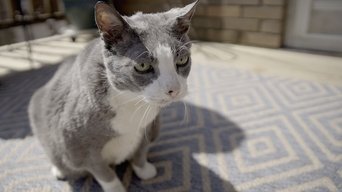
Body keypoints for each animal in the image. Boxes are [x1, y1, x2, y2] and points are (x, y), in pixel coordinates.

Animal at [28, 1, 198, 192]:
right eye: (142, 65)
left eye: (183, 60)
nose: (174, 89)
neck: (132, 101)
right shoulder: (78, 146)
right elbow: (103, 172)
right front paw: (116, 188)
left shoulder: (149, 127)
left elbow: (140, 152)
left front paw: (145, 171)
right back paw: (59, 170)